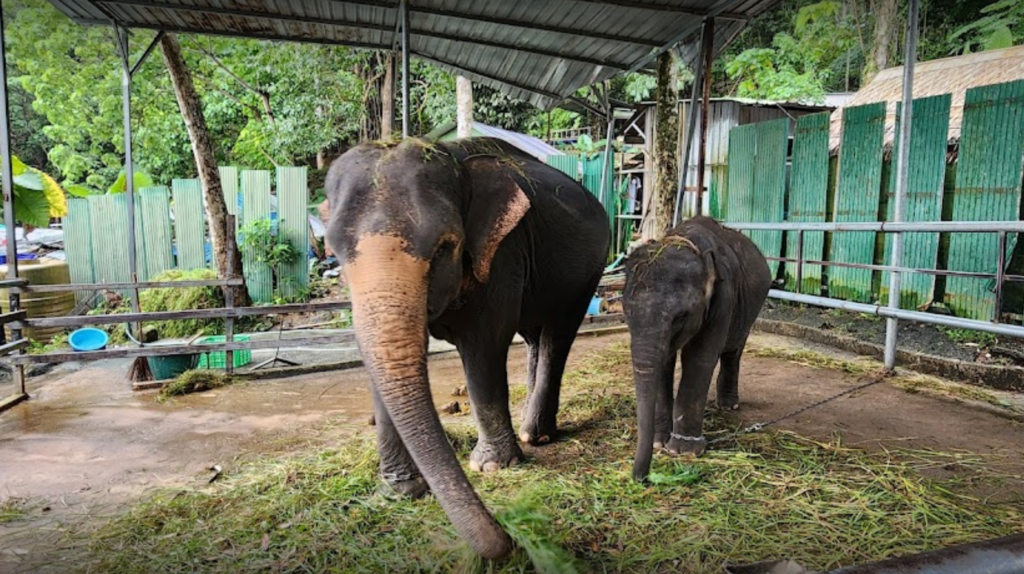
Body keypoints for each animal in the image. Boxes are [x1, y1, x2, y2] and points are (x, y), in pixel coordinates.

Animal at [323, 136, 606, 556]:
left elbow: (484, 347)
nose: (511, 540)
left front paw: (491, 467)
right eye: (336, 253)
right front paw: (398, 491)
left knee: (557, 335)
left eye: (445, 247)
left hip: (586, 273)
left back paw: (536, 435)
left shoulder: (504, 254)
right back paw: (530, 431)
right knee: (535, 337)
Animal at [618, 214, 770, 478]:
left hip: (750, 310)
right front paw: (659, 443)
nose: (640, 478)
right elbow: (664, 363)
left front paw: (683, 451)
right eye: (626, 312)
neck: (685, 242)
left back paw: (728, 406)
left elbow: (699, 357)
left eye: (680, 317)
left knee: (733, 351)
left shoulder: (724, 297)